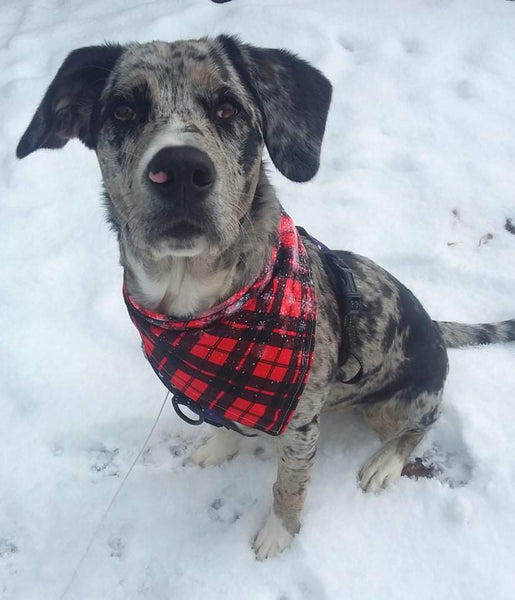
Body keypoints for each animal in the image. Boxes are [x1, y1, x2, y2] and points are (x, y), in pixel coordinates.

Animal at [17, 36, 515, 564]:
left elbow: (289, 486)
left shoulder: (300, 427)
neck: (203, 306)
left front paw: (278, 534)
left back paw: (384, 463)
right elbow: (221, 423)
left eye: (228, 107)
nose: (180, 169)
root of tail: (436, 326)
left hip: (391, 407)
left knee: (423, 423)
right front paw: (218, 449)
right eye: (123, 111)